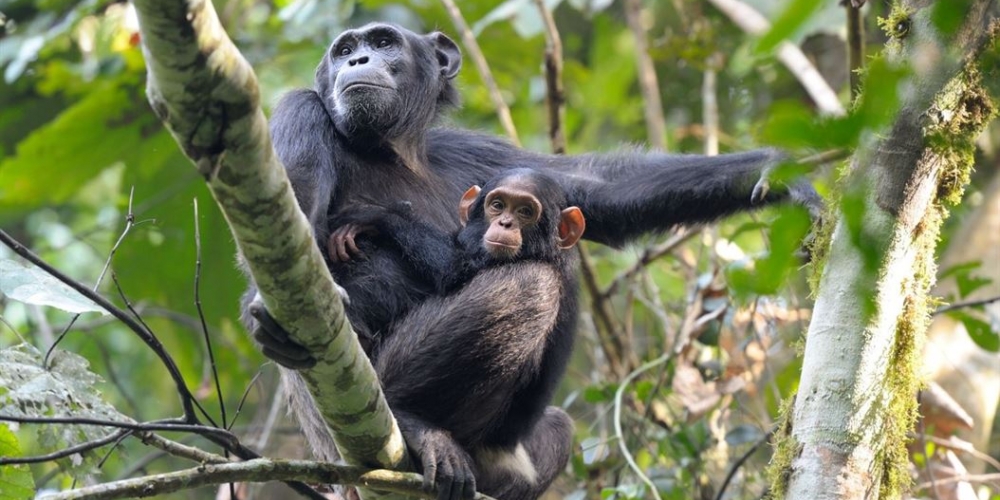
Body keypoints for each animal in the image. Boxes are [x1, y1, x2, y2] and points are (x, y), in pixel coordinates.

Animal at [240, 18, 812, 496]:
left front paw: (782, 171)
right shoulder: (298, 113)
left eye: (383, 43)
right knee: (531, 284)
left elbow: (592, 187)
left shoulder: (480, 156)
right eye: (344, 49)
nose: (357, 60)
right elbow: (289, 231)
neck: (395, 149)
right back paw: (415, 424)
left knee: (554, 412)